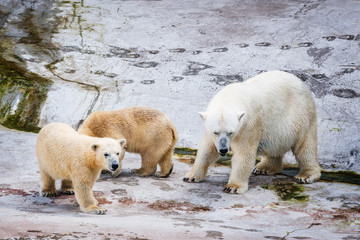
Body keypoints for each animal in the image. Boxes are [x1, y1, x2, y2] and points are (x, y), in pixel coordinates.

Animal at [184, 71, 322, 193]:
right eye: (215, 132)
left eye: (230, 132)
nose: (223, 150)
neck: (231, 97)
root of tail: (304, 85)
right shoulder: (210, 131)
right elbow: (207, 150)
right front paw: (190, 176)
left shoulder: (248, 126)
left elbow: (244, 155)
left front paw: (233, 187)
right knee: (275, 146)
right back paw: (264, 168)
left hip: (301, 116)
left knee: (305, 147)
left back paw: (305, 175)